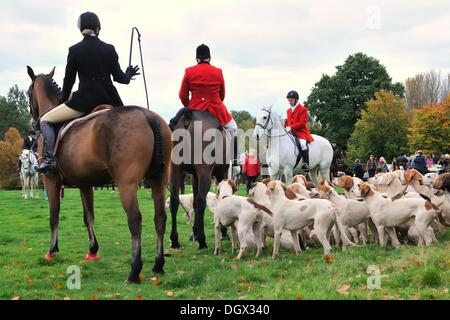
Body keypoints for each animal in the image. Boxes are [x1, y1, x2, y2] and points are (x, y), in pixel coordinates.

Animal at [26, 67, 172, 282]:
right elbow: (89, 216)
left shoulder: (51, 181)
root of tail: (148, 116)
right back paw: (158, 264)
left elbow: (54, 215)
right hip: (158, 182)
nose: (34, 122)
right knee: (160, 218)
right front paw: (92, 250)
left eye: (28, 93)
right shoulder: (85, 184)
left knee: (135, 220)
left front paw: (52, 250)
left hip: (127, 184)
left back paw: (134, 271)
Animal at [170, 110, 230, 250]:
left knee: (174, 200)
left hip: (175, 170)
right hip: (205, 173)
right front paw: (224, 232)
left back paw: (175, 240)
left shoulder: (195, 177)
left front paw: (194, 233)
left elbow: (194, 203)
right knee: (201, 199)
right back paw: (202, 241)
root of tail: (188, 117)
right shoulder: (222, 174)